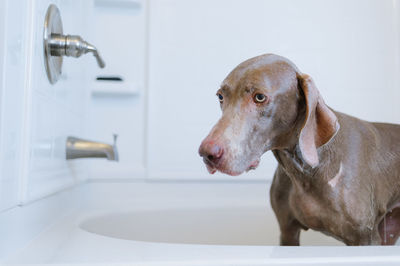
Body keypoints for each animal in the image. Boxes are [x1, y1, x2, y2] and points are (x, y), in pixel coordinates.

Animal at [199, 53, 400, 245]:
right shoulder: (287, 231)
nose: (207, 153)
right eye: (220, 97)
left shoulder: (365, 237)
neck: (305, 172)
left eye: (259, 97)